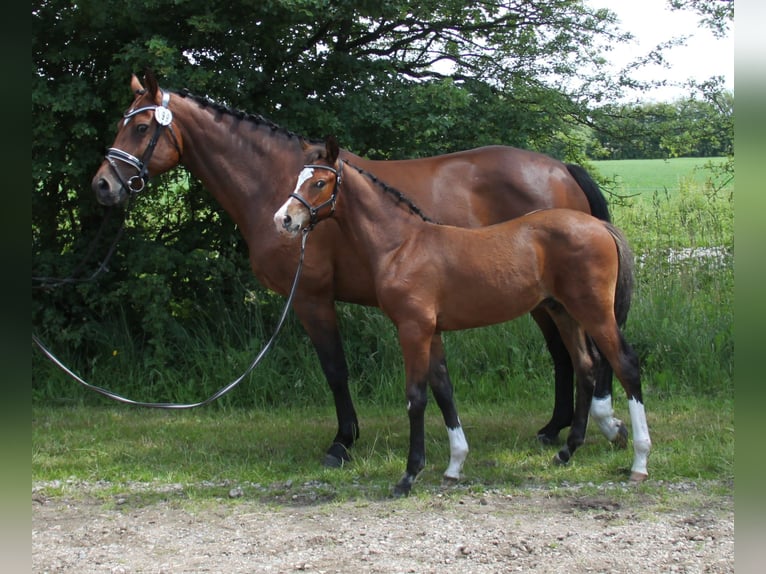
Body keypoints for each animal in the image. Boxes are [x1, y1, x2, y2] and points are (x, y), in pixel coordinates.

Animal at [91, 71, 627, 467]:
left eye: (141, 128)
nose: (102, 186)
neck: (278, 182)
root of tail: (561, 168)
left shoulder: (311, 298)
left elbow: (335, 369)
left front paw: (342, 442)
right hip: (548, 300)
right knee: (567, 356)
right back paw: (557, 429)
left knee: (576, 355)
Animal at [274, 137, 650, 496]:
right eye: (297, 177)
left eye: (319, 182)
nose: (284, 219)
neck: (402, 245)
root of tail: (599, 226)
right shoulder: (433, 331)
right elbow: (444, 390)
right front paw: (454, 466)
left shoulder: (413, 329)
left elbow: (416, 398)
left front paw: (408, 476)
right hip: (564, 313)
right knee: (585, 366)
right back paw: (567, 451)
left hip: (593, 311)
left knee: (625, 364)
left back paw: (639, 461)